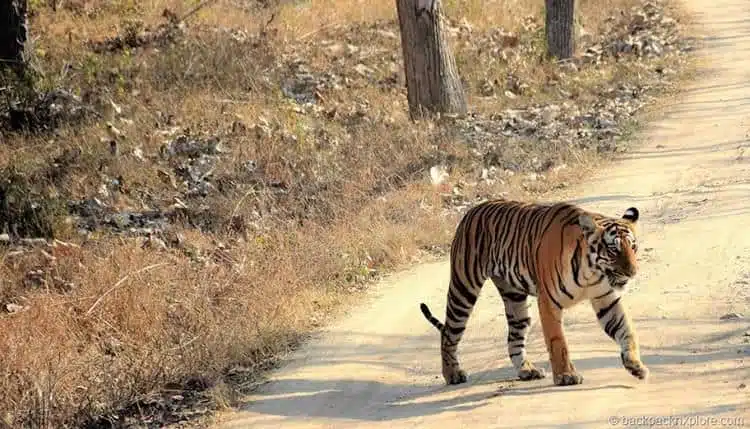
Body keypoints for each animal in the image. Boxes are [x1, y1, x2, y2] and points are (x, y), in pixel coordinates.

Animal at [420, 199, 648, 386]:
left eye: (633, 247)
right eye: (613, 249)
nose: (633, 272)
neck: (591, 272)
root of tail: (471, 211)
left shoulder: (606, 299)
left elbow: (626, 330)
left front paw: (636, 366)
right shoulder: (549, 302)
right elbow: (558, 341)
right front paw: (566, 376)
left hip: (514, 299)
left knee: (514, 336)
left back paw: (527, 370)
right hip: (464, 288)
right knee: (449, 333)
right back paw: (453, 374)